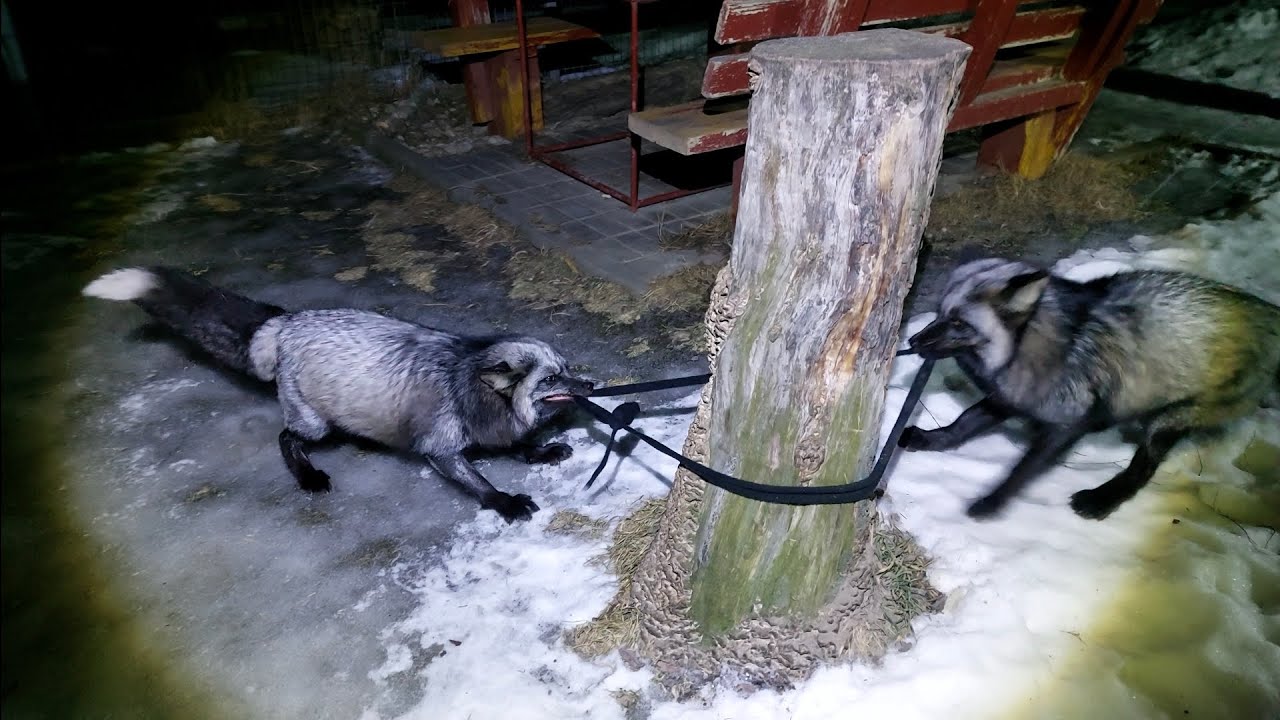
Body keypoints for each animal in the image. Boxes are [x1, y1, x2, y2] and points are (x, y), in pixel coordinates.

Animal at [82, 266, 593, 524]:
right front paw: (505, 502)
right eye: (551, 380)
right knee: (286, 438)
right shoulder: (440, 448)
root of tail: (286, 322)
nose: (590, 386)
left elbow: (518, 445)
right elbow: (480, 482)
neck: (467, 381)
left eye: (567, 370)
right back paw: (308, 477)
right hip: (313, 424)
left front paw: (542, 452)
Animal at [899, 258, 1280, 521]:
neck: (1032, 346)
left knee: (1143, 469)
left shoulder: (1067, 423)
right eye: (940, 313)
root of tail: (1267, 312)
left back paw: (1100, 500)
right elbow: (962, 423)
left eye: (959, 323)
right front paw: (929, 439)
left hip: (1170, 419)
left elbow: (1021, 471)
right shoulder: (1011, 399)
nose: (913, 341)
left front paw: (993, 501)